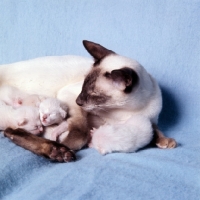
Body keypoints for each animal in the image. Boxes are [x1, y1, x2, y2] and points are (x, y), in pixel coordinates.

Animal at [1, 39, 177, 162]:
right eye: (83, 87)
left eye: (92, 93)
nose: (79, 101)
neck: (125, 112)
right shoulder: (71, 98)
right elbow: (82, 131)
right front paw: (70, 143)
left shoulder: (148, 119)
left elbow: (155, 128)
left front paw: (165, 141)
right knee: (12, 131)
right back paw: (59, 152)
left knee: (11, 132)